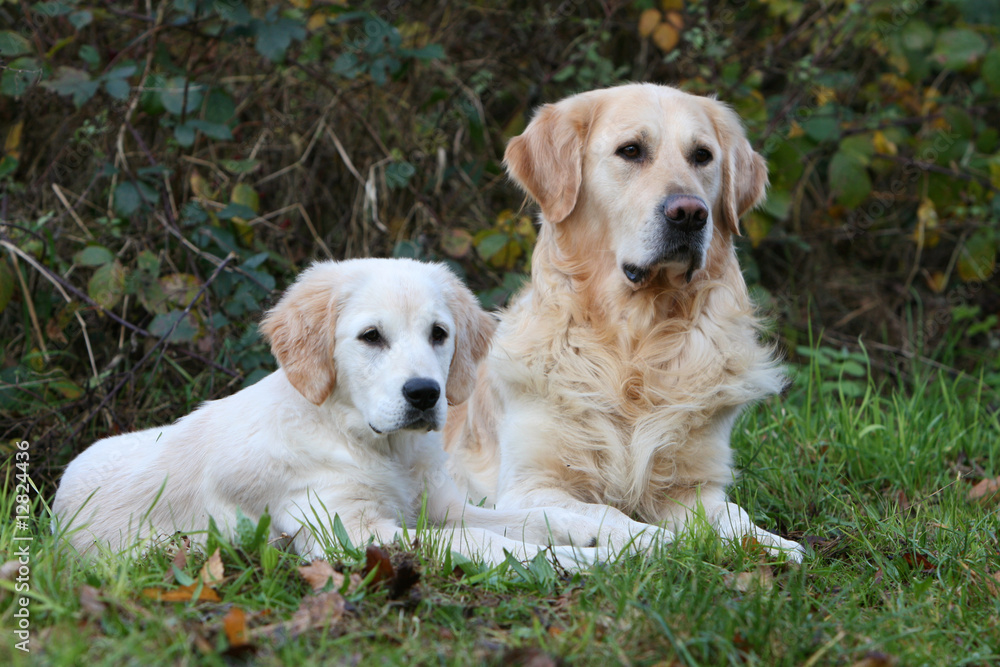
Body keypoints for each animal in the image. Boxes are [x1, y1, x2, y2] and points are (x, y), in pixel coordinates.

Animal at [52, 258, 616, 568]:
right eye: (371, 336)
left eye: (439, 333)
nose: (424, 394)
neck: (376, 445)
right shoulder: (350, 530)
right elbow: (485, 542)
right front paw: (584, 560)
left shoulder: (437, 505)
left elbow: (529, 517)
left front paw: (608, 534)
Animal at [450, 83, 808, 564]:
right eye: (631, 150)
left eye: (702, 156)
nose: (690, 213)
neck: (635, 341)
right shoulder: (530, 485)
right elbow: (605, 512)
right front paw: (650, 539)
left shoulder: (693, 486)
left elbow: (732, 515)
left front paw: (771, 543)